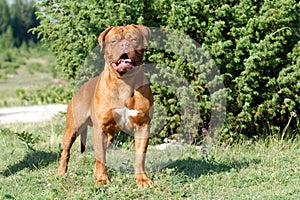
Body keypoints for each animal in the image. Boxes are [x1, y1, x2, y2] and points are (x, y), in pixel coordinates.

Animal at [57, 24, 154, 188]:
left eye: (134, 39)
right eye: (113, 41)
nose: (124, 45)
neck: (125, 82)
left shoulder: (143, 126)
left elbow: (140, 156)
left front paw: (142, 179)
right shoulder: (99, 128)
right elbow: (101, 157)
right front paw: (102, 180)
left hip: (108, 136)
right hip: (72, 128)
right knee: (66, 152)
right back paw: (61, 173)